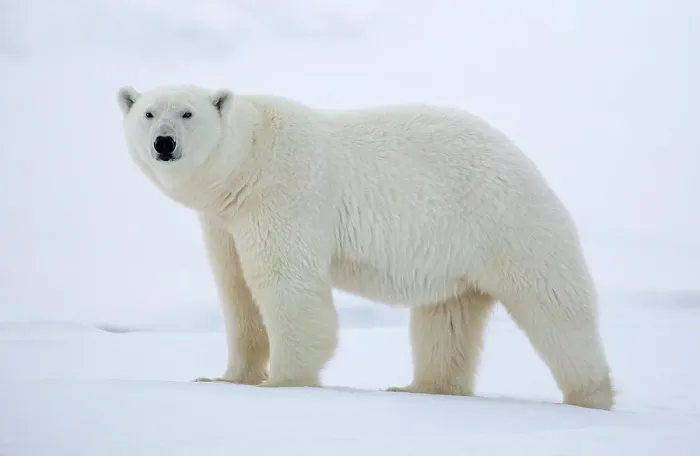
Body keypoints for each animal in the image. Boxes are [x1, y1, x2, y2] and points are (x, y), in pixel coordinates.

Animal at [117, 84, 615, 410]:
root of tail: (524, 160)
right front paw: (225, 378)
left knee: (555, 308)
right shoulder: (224, 221)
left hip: (507, 223)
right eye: (147, 113)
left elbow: (286, 284)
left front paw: (283, 382)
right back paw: (420, 387)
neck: (248, 162)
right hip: (458, 256)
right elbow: (236, 290)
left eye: (187, 113)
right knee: (446, 319)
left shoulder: (284, 192)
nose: (164, 143)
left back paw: (590, 396)